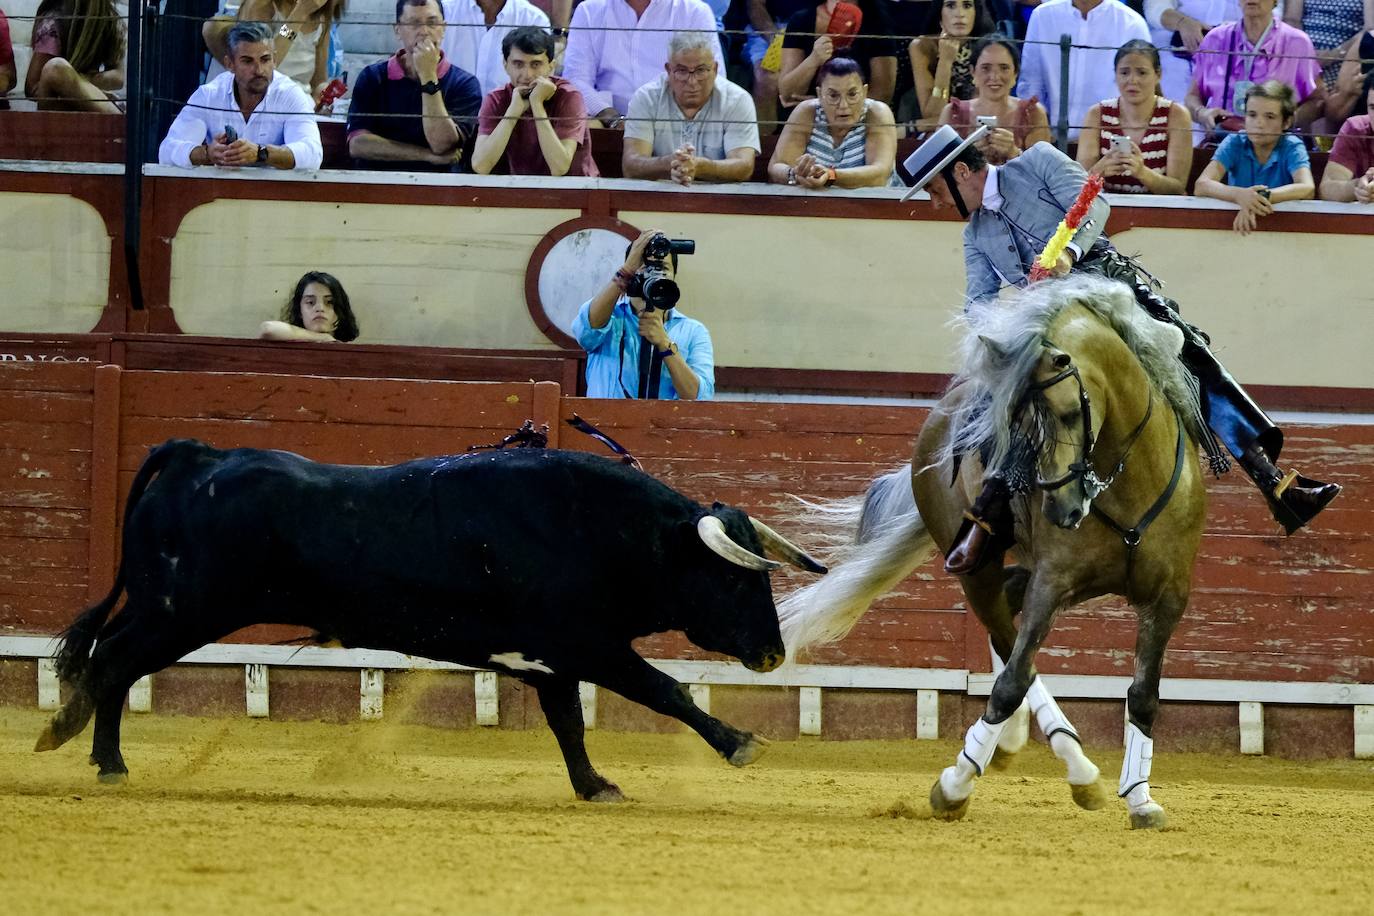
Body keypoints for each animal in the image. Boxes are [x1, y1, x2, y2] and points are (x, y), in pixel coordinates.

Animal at [34, 439, 824, 796]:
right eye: (734, 578)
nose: (771, 654)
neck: (599, 528)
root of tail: (198, 455)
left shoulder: (552, 659)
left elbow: (569, 723)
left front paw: (594, 785)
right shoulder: (588, 644)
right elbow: (666, 691)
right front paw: (740, 744)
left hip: (171, 610)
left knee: (112, 661)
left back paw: (103, 759)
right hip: (181, 611)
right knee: (113, 661)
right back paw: (88, 748)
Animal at [780, 276, 1209, 829]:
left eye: (1070, 412)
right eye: (1014, 426)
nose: (1061, 509)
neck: (1127, 481)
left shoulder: (1168, 597)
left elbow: (1144, 695)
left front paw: (1140, 797)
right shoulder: (1052, 583)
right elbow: (1011, 682)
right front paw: (954, 784)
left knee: (1009, 628)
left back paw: (1026, 747)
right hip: (977, 567)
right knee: (1011, 650)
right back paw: (1070, 766)